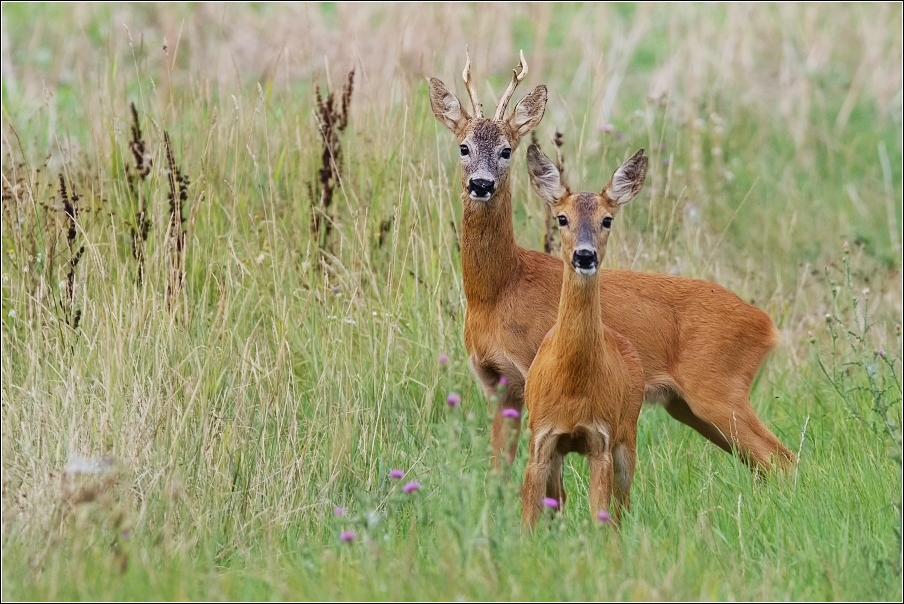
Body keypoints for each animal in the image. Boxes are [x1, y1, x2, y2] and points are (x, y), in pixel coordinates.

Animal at [428, 52, 796, 474]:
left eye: (506, 150)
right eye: (463, 147)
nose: (481, 184)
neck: (499, 290)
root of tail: (768, 326)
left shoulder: (534, 374)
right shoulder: (497, 385)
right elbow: (497, 470)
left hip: (719, 388)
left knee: (781, 459)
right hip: (688, 405)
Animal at [520, 146, 648, 528]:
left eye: (607, 220)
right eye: (561, 218)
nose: (585, 254)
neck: (573, 385)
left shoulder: (600, 440)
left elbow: (600, 519)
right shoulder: (541, 440)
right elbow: (529, 521)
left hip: (627, 437)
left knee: (621, 508)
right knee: (558, 500)